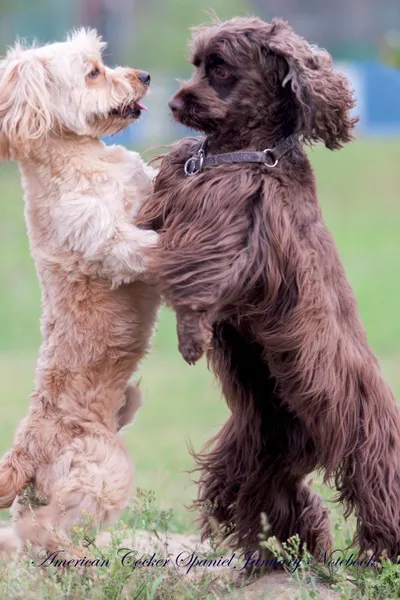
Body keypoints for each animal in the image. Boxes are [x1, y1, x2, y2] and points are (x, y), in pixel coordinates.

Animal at [0, 29, 159, 552]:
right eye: (92, 72)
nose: (144, 75)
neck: (82, 157)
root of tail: (25, 452)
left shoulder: (143, 184)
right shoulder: (110, 240)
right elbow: (147, 246)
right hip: (103, 470)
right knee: (44, 530)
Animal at [137, 18, 400, 564]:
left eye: (220, 68)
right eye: (197, 63)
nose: (174, 102)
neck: (242, 150)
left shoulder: (230, 234)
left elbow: (195, 281)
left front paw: (190, 340)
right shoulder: (181, 191)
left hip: (359, 435)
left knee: (373, 487)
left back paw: (379, 551)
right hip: (260, 445)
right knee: (275, 497)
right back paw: (286, 549)